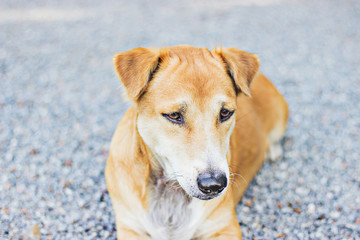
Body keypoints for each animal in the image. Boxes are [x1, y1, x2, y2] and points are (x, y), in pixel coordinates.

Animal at [104, 44, 286, 238]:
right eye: (174, 115)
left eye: (225, 113)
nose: (214, 184)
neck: (170, 191)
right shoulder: (130, 227)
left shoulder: (225, 227)